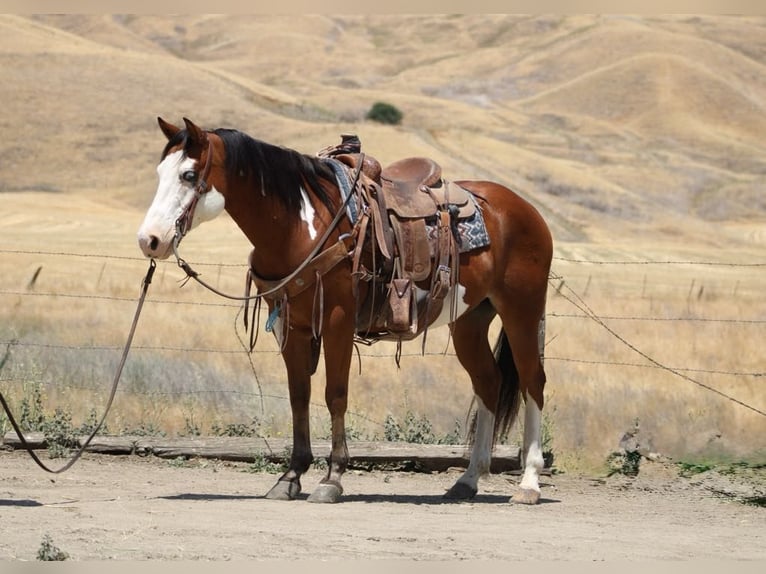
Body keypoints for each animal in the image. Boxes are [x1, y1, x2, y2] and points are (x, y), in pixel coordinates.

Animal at [137, 117, 553, 504]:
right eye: (159, 173)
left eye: (189, 175)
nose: (150, 240)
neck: (300, 225)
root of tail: (526, 209)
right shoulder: (292, 326)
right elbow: (299, 396)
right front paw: (291, 476)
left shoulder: (337, 321)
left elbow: (335, 395)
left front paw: (332, 478)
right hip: (469, 321)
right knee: (488, 383)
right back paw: (468, 479)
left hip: (522, 310)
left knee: (533, 382)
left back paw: (529, 482)